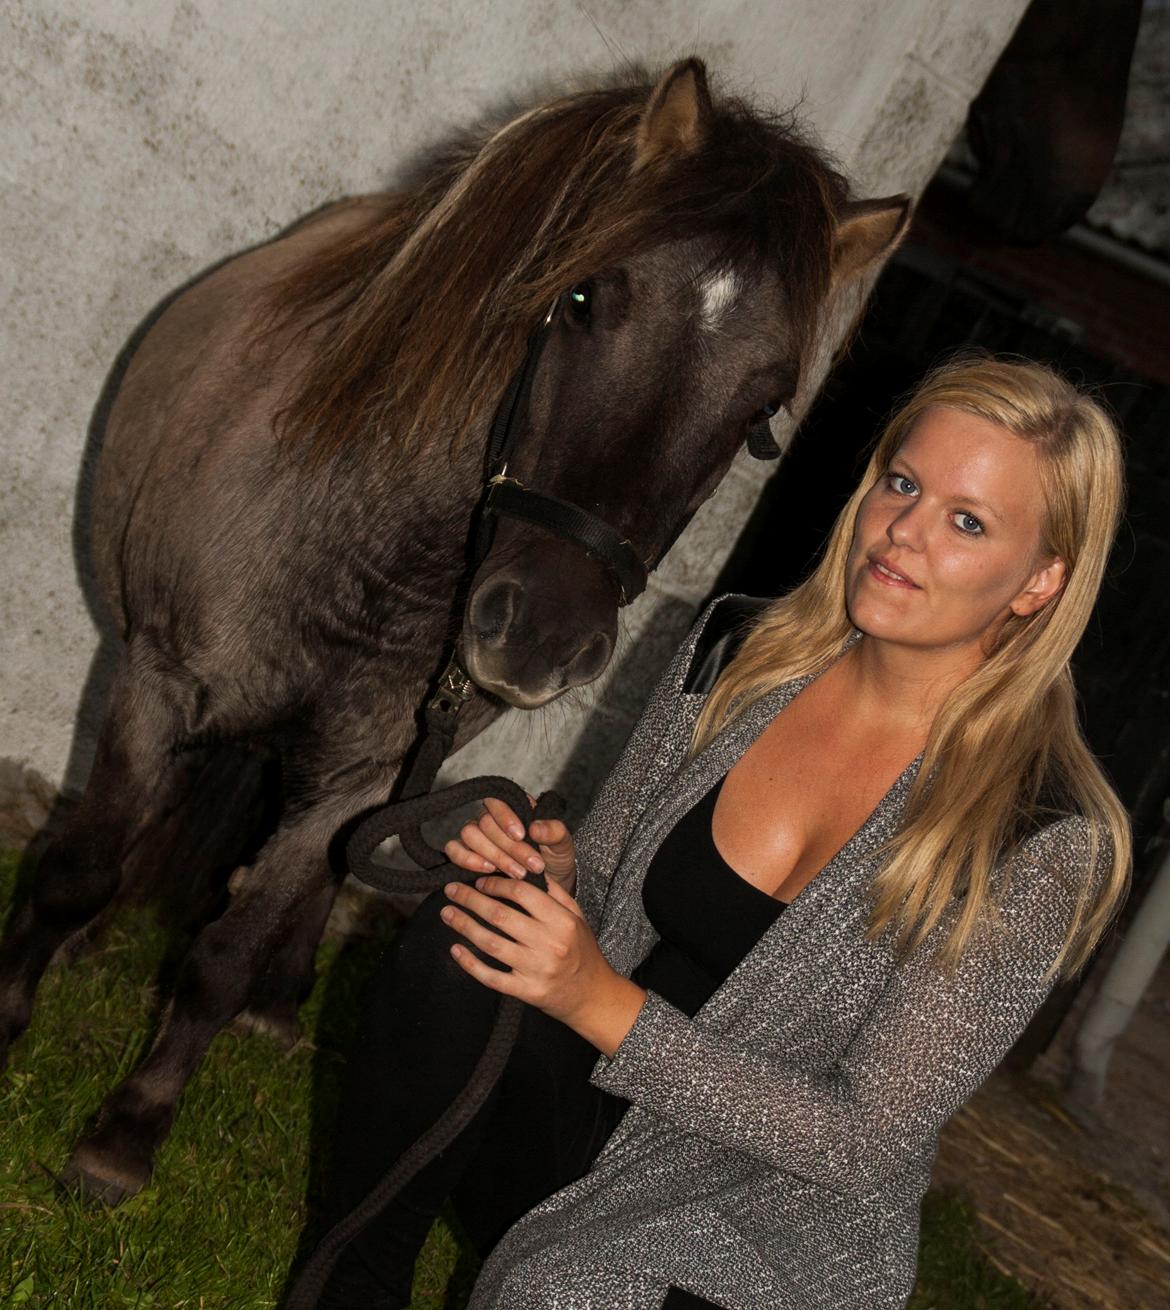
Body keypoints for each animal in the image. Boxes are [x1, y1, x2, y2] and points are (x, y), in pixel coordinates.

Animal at [0, 59, 908, 1204]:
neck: (373, 554)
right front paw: (13, 1010)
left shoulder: (361, 774)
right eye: (584, 298)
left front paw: (127, 1133)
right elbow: (80, 865)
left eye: (764, 414)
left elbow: (229, 950)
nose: (543, 636)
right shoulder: (157, 688)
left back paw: (279, 999)